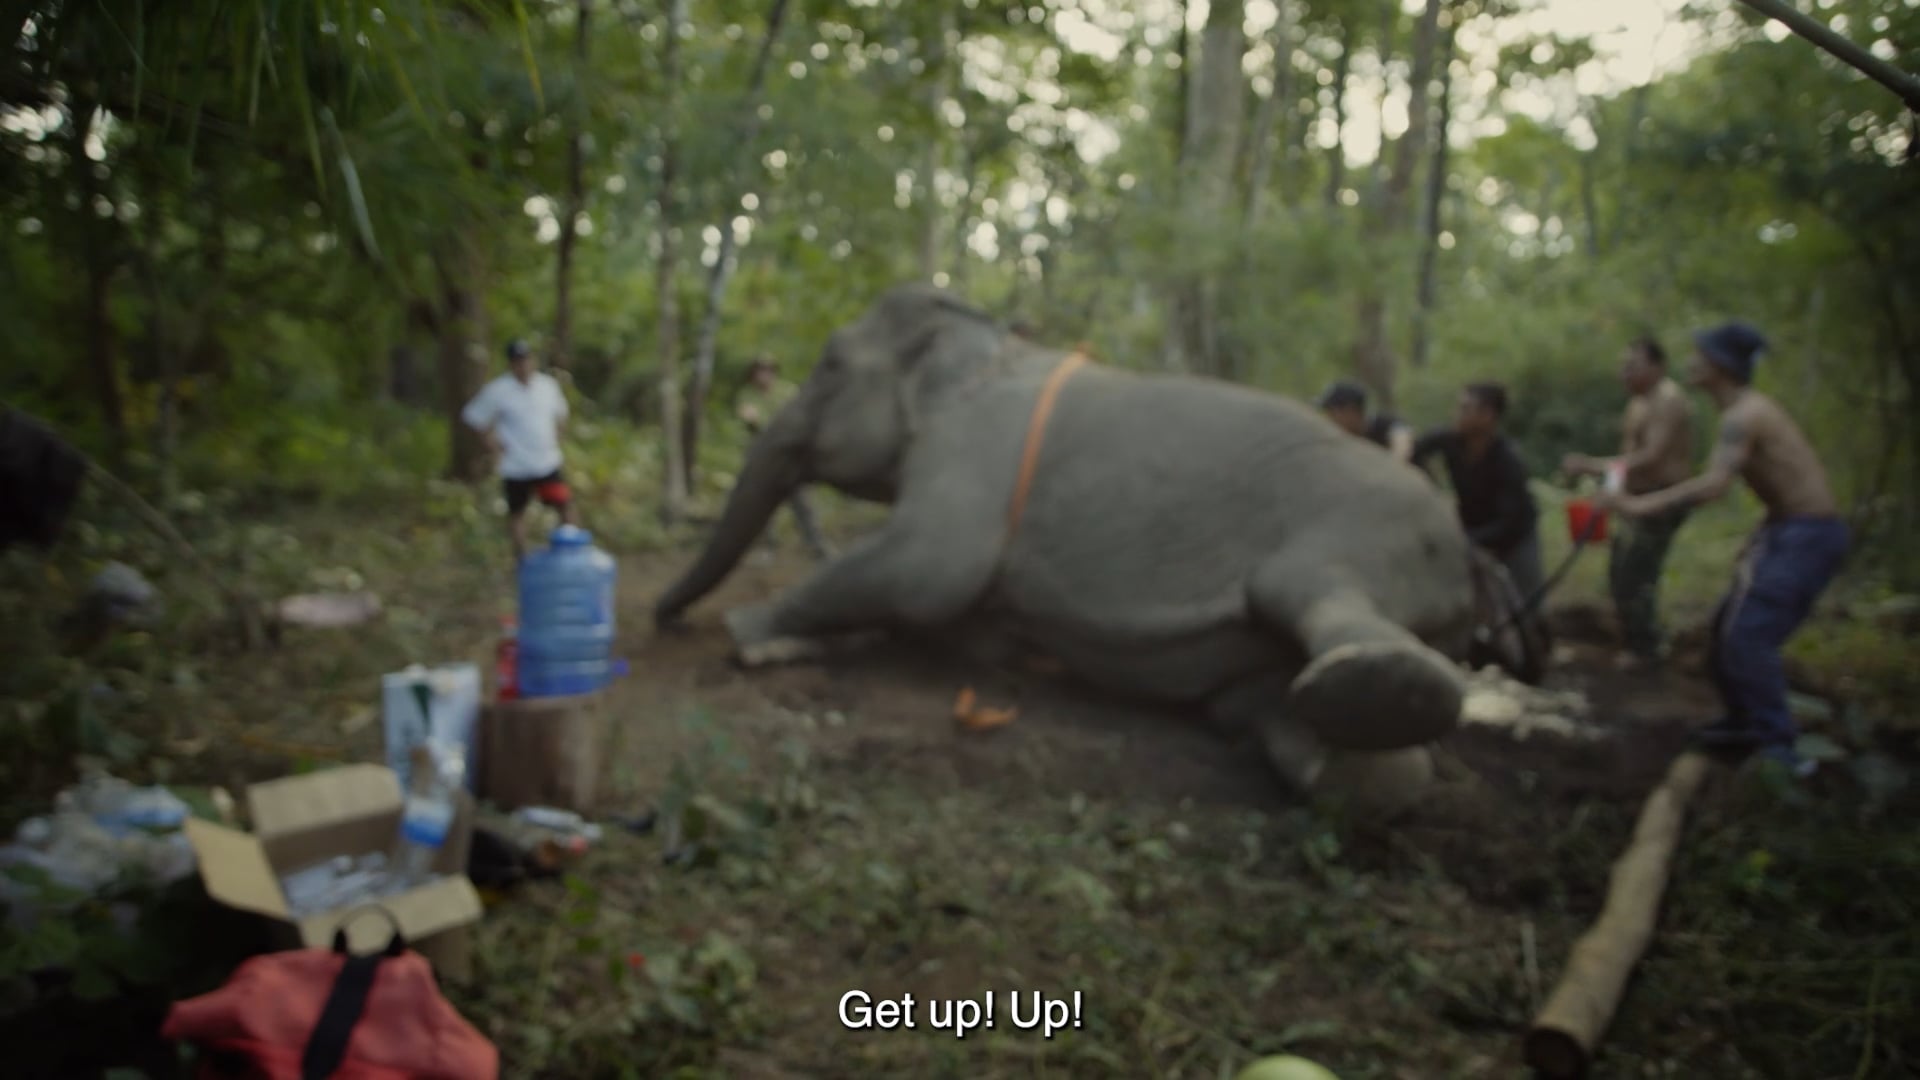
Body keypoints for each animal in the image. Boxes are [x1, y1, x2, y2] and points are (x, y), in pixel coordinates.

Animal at [655, 284, 1478, 809]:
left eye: (828, 364)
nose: (664, 618)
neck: (985, 346)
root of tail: (1470, 565)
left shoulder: (973, 454)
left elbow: (928, 570)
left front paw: (749, 635)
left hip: (1378, 530)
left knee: (1303, 589)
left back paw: (1383, 684)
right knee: (1285, 720)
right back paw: (1336, 762)